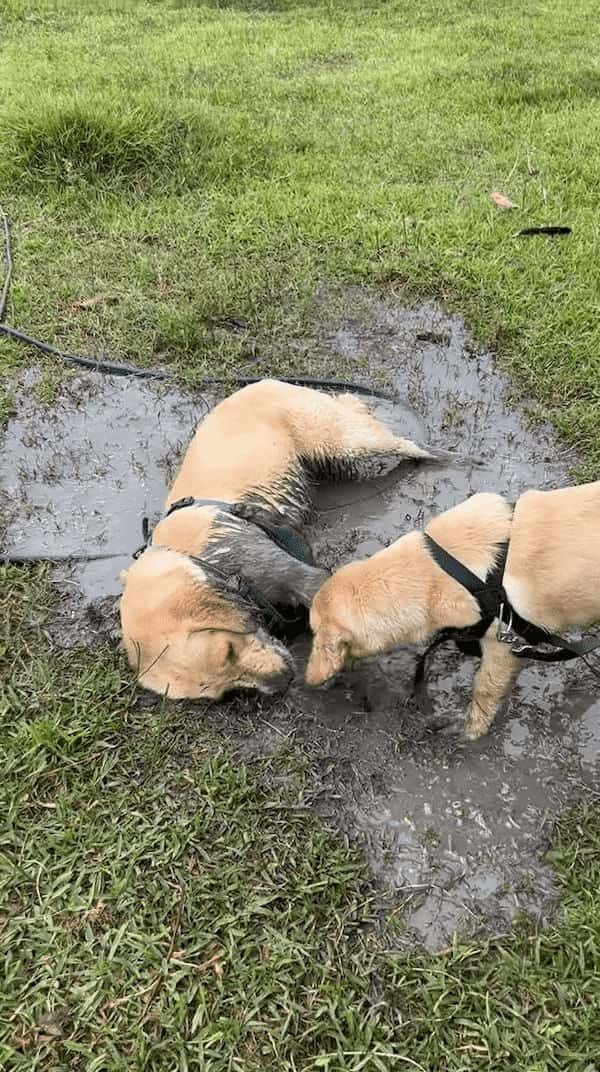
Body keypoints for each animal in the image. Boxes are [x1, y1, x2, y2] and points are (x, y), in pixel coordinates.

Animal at [306, 484, 595, 737]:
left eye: (314, 629)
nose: (313, 682)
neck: (439, 570)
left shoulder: (502, 644)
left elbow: (485, 689)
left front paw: (471, 731)